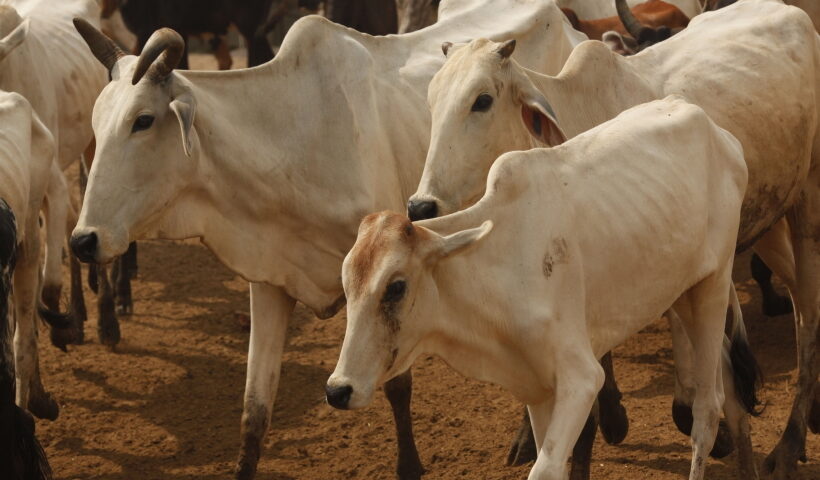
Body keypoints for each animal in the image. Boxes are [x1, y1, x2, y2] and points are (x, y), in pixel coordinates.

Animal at [70, 1, 586, 478]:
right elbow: (254, 411)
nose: (82, 241)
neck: (293, 142)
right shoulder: (269, 282)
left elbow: (396, 385)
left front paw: (409, 465)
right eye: (94, 123)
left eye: (142, 120)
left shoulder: (396, 270)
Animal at [328, 96, 751, 480]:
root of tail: (720, 134)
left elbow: (545, 468)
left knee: (706, 411)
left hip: (714, 285)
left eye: (396, 286)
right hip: (680, 292)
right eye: (347, 286)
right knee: (726, 382)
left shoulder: (581, 378)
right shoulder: (536, 388)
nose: (337, 390)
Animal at [408, 1, 819, 477]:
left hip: (807, 201)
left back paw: (790, 442)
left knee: (808, 317)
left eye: (482, 101)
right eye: (432, 99)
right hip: (767, 218)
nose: (420, 206)